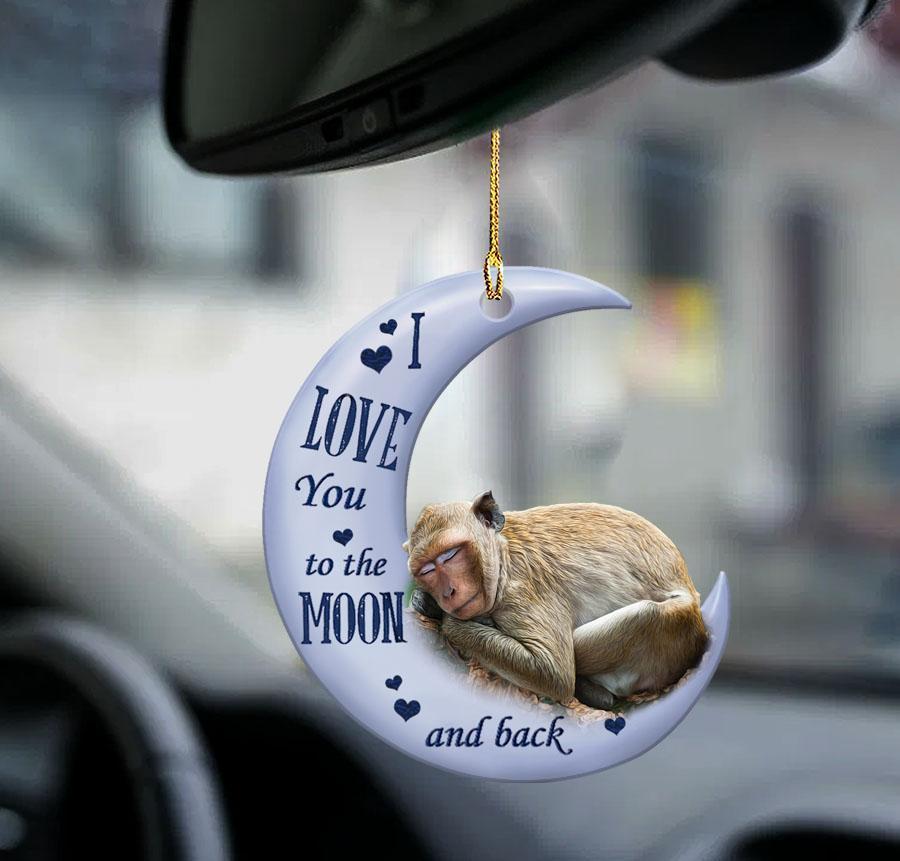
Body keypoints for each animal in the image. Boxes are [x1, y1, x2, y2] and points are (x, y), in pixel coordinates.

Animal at [403, 491, 708, 710]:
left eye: (450, 555)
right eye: (427, 570)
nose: (447, 593)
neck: (505, 555)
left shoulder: (522, 592)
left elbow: (552, 673)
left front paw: (439, 613)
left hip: (678, 633)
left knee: (648, 613)